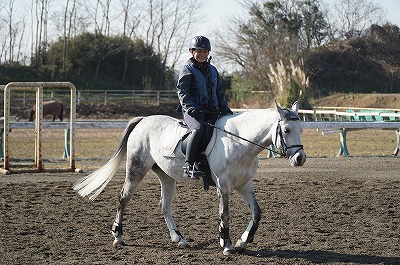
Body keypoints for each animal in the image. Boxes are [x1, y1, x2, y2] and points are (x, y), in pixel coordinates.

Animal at [73, 100, 306, 254]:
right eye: (286, 130)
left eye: (301, 129)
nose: (300, 158)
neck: (239, 141)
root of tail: (143, 120)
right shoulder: (223, 184)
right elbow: (225, 214)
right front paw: (226, 244)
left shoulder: (244, 184)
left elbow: (257, 213)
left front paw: (243, 240)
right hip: (136, 169)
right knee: (123, 198)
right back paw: (118, 236)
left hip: (166, 176)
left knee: (164, 206)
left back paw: (179, 239)